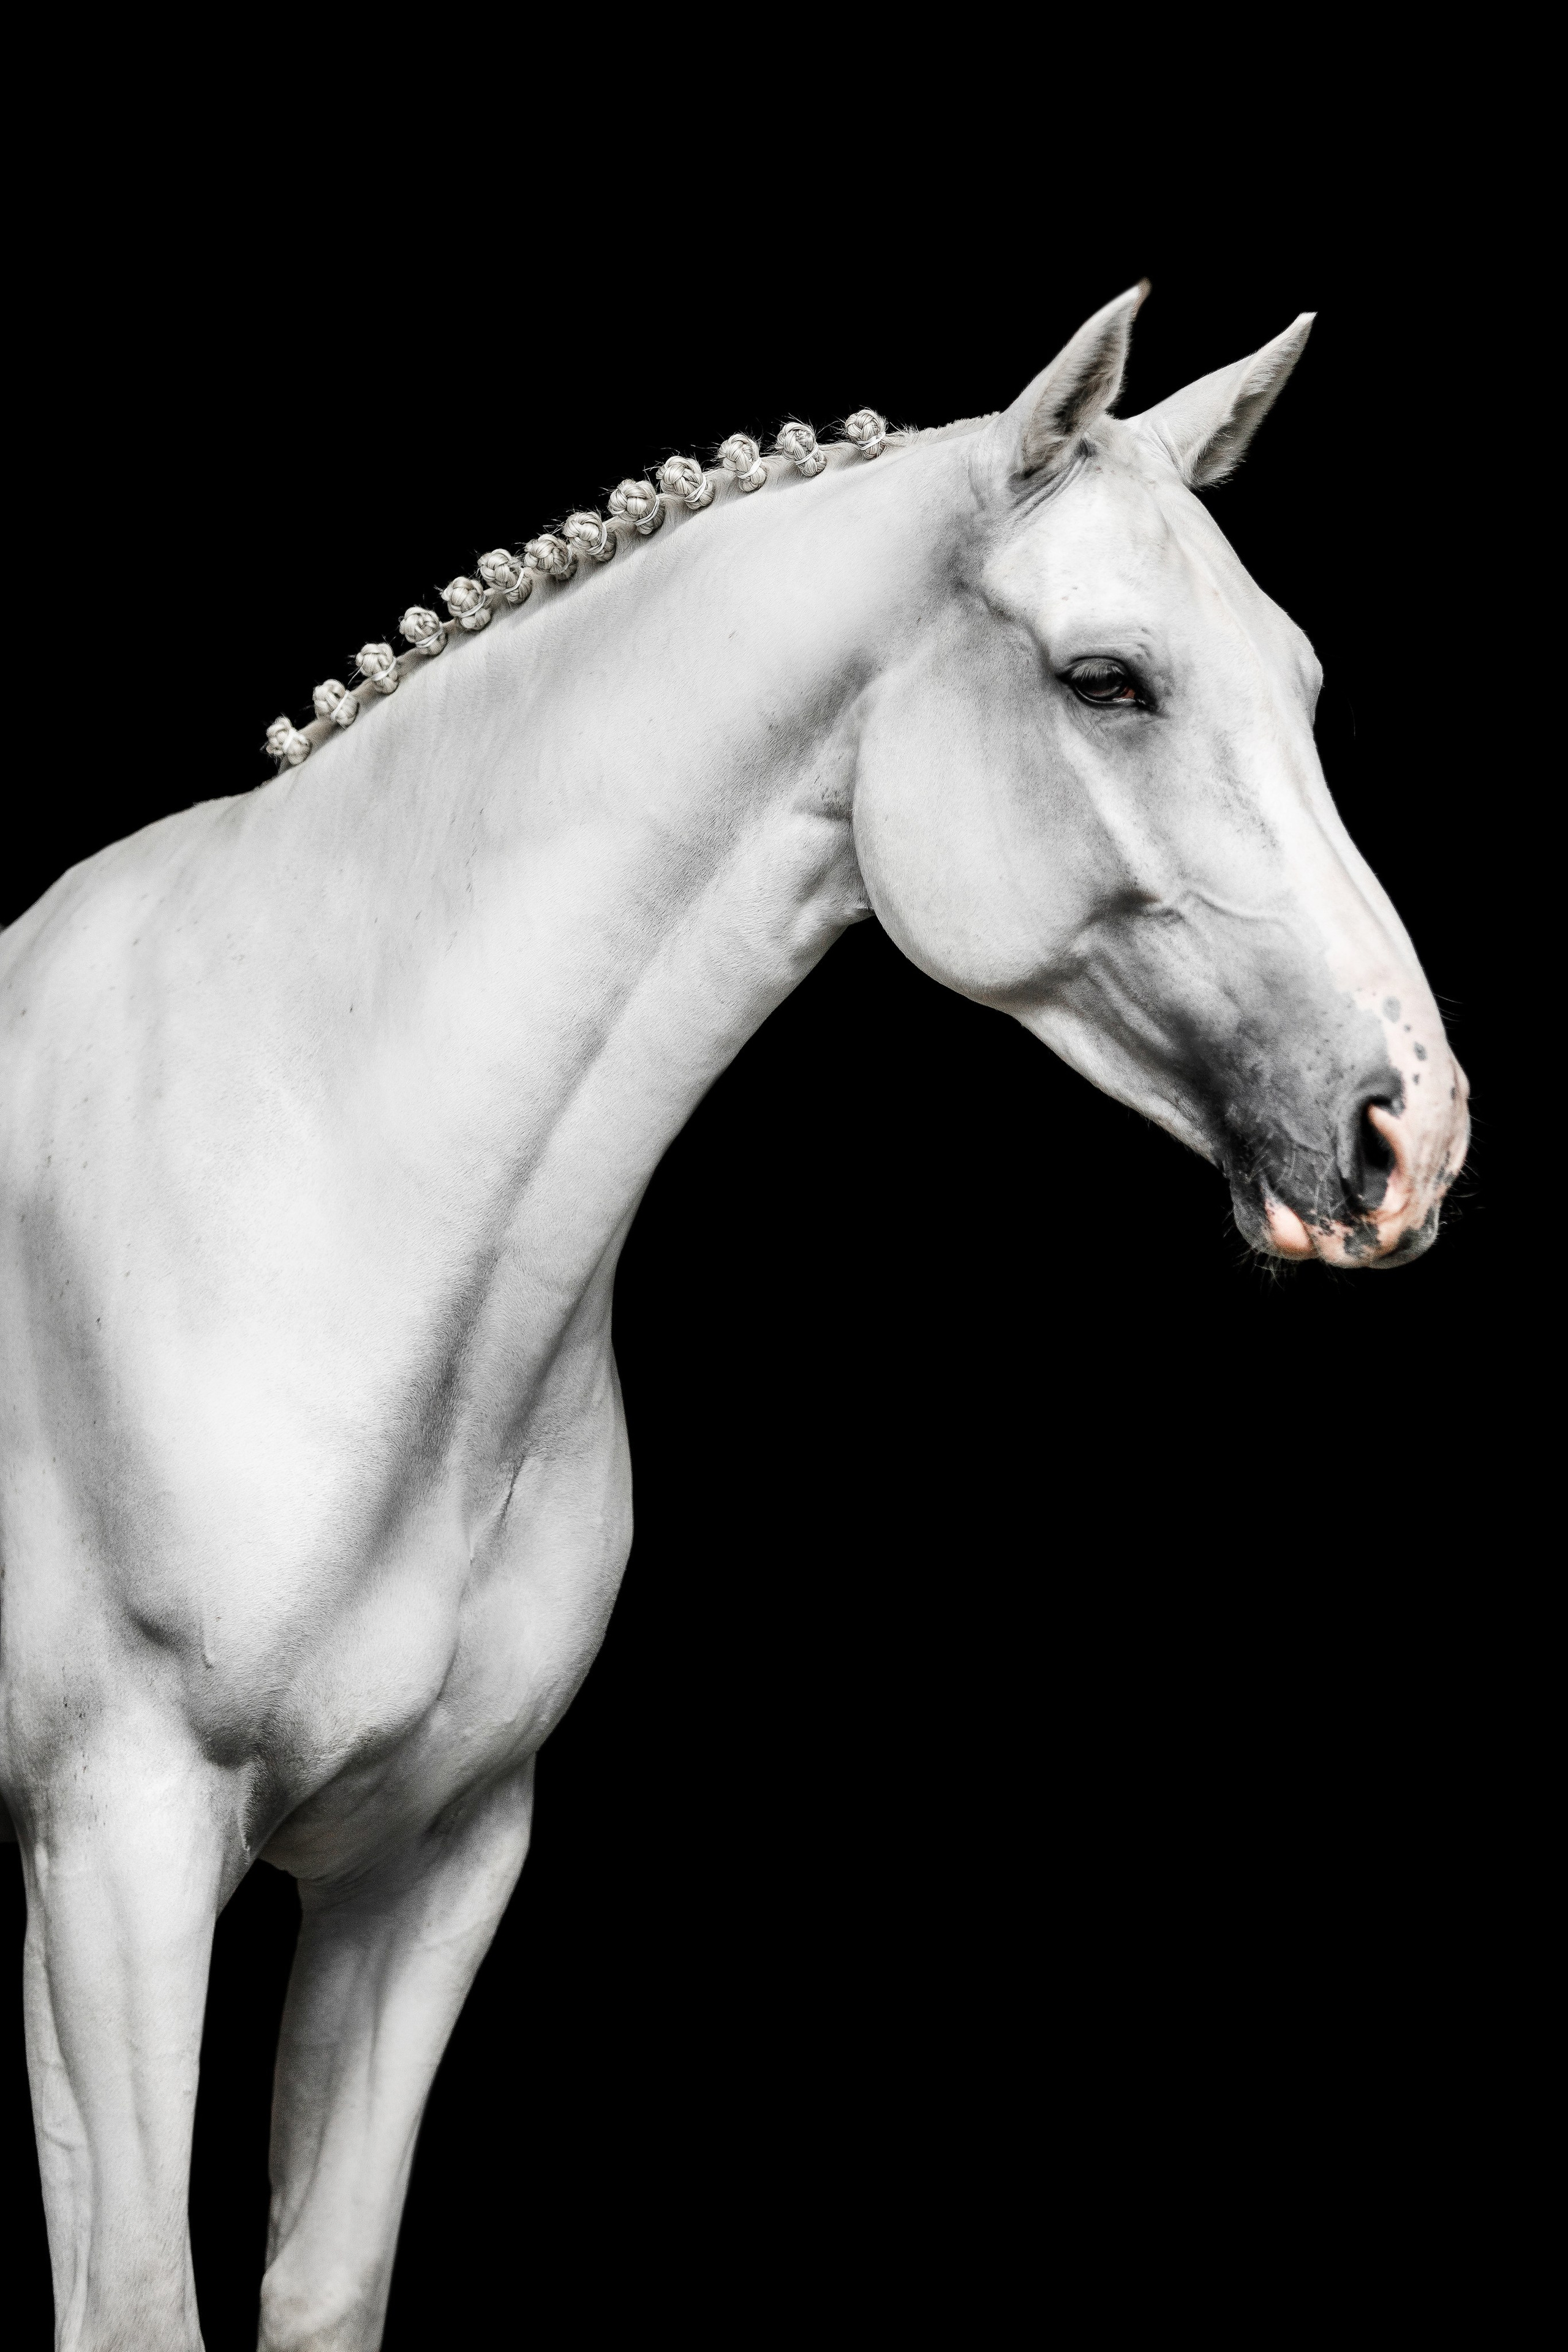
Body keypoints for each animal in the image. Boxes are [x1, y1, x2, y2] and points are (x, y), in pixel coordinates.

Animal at [0, 284, 1469, 2349]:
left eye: (1304, 681)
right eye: (1107, 680)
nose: (1409, 1130)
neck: (314, 1170)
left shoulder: (428, 1861)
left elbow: (317, 2286)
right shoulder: (119, 1847)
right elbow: (135, 2297)